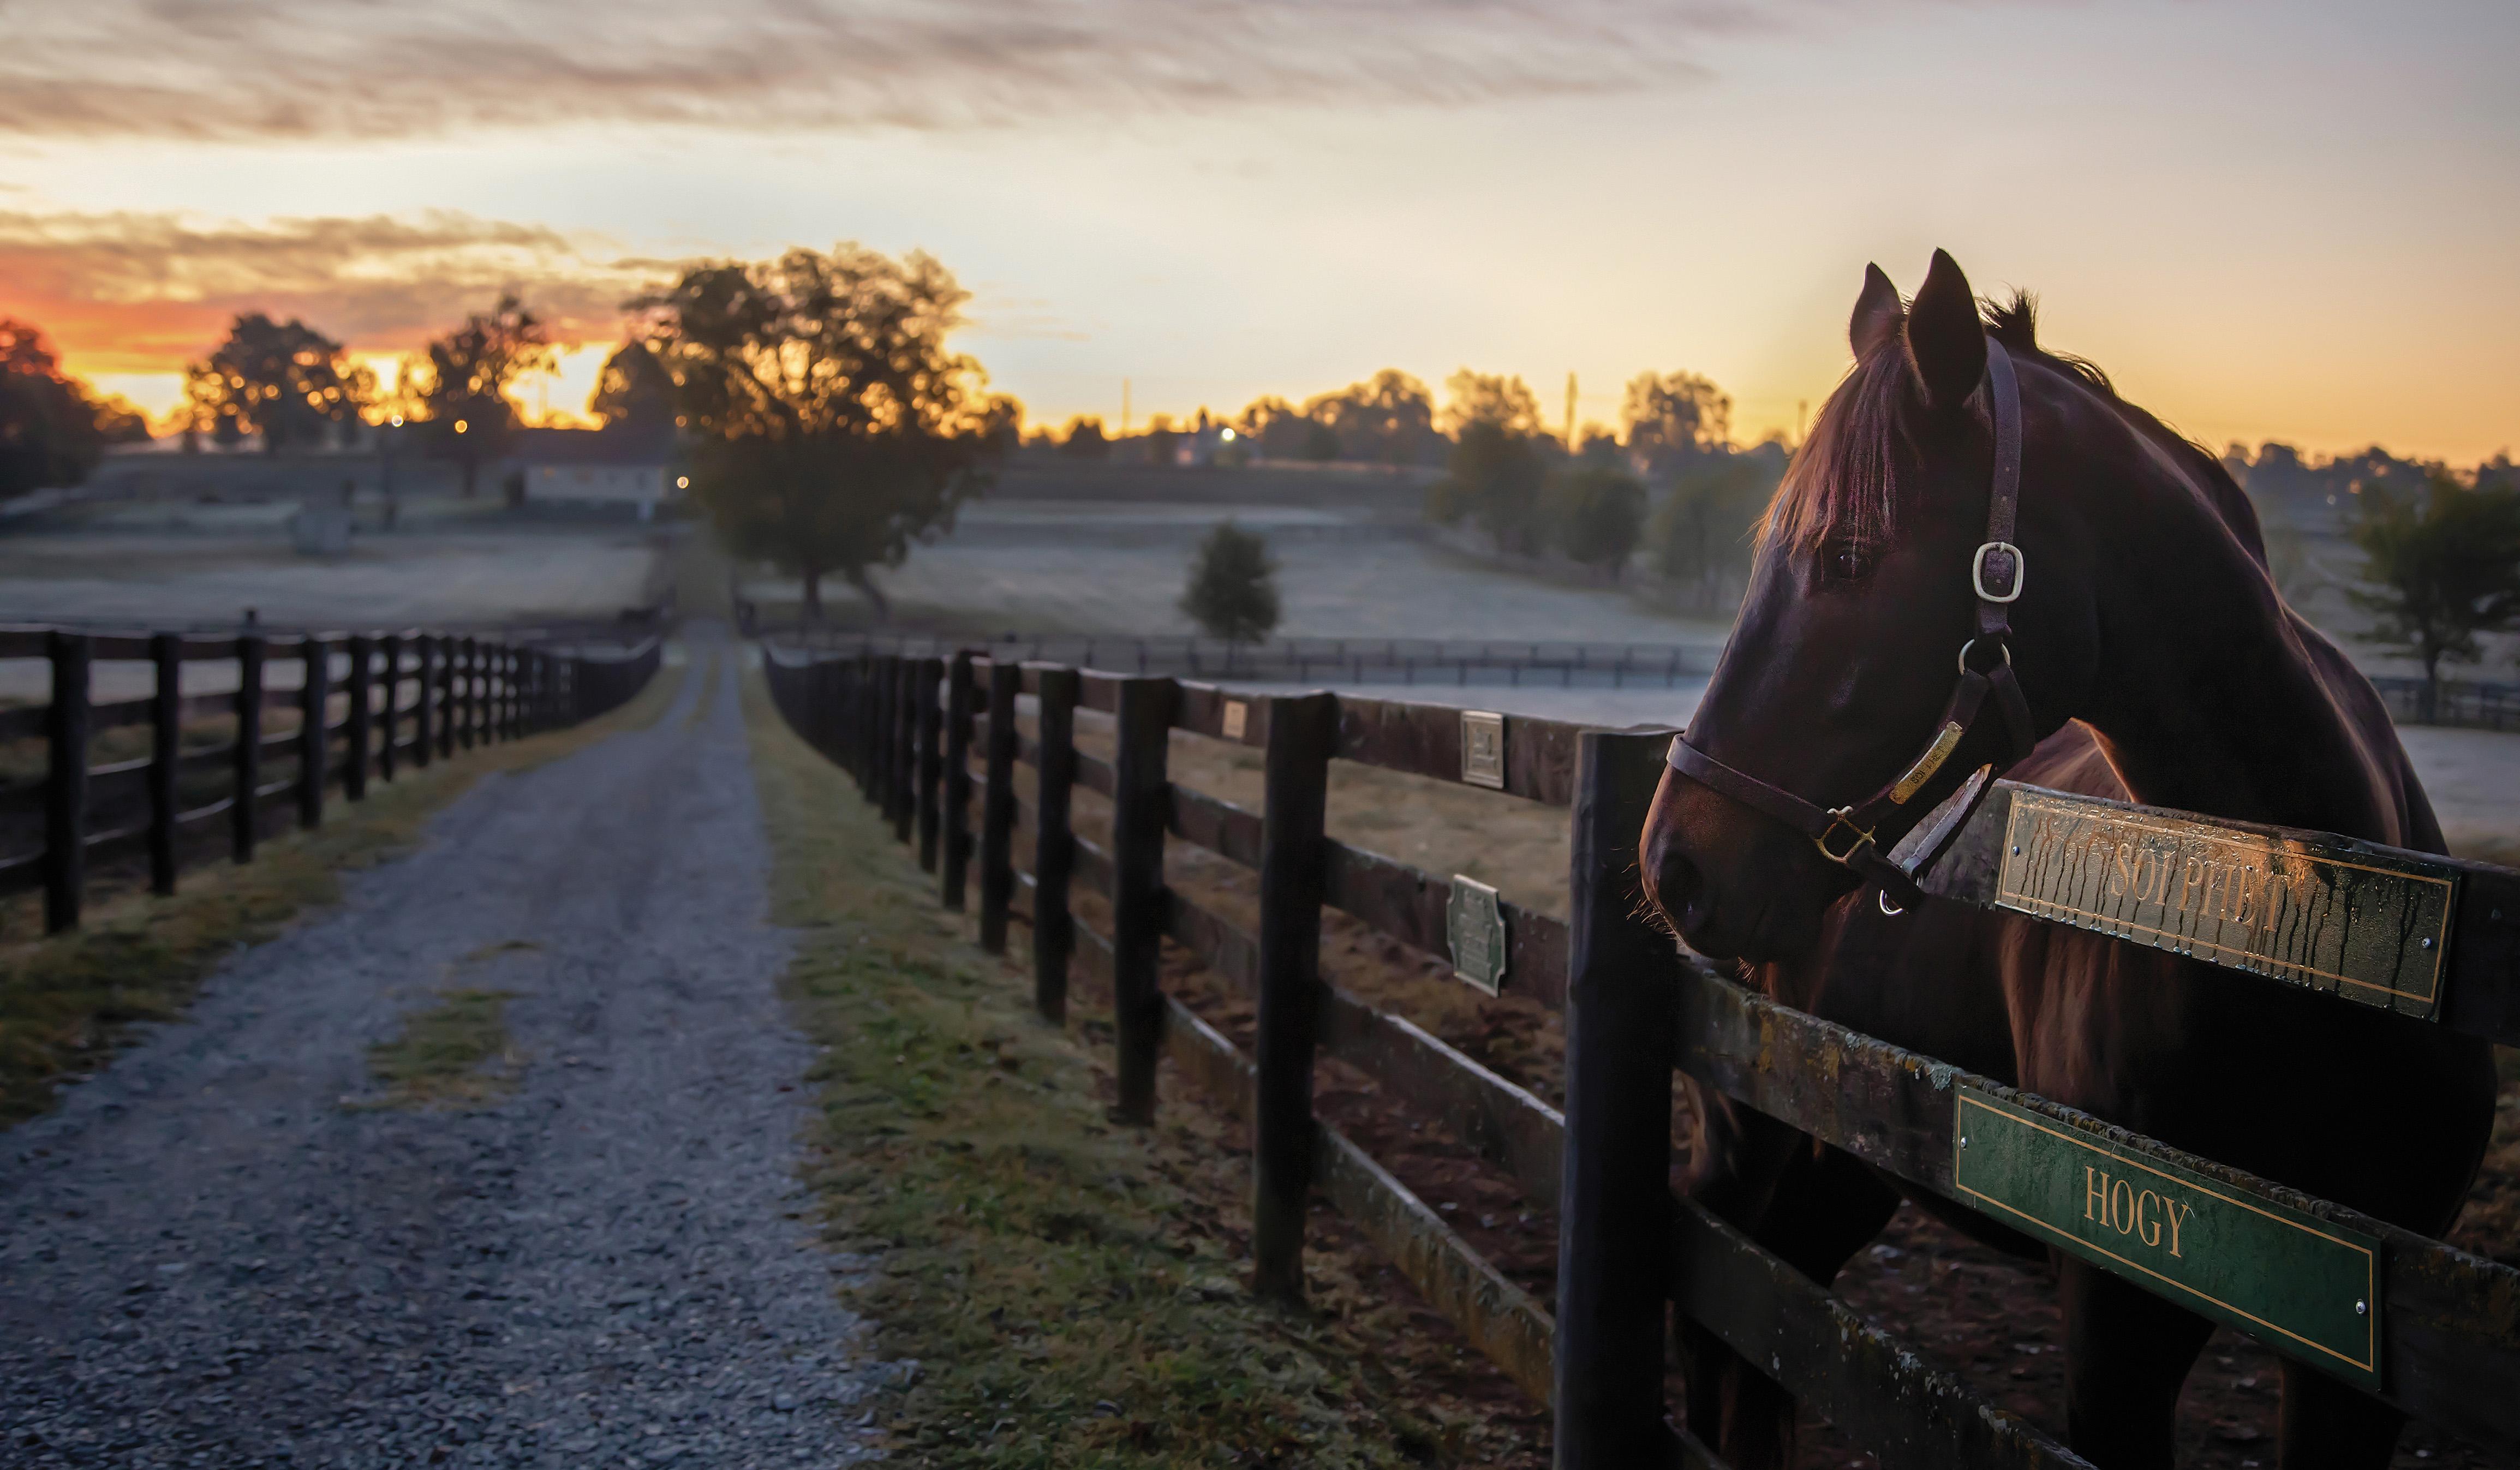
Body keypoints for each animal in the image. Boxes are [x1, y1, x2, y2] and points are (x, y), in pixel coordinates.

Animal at [1643, 247, 2489, 1462]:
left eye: (1848, 554)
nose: (1675, 863)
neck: (2318, 950)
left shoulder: (2360, 1364)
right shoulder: (2110, 1328)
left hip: (1834, 1161)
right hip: (1745, 1131)